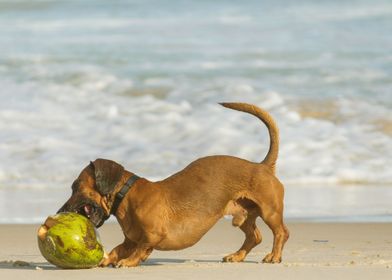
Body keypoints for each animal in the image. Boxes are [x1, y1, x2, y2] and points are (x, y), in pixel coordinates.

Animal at [56, 102, 290, 266]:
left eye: (75, 187)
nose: (59, 212)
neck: (127, 195)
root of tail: (262, 166)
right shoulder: (130, 240)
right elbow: (118, 249)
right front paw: (108, 259)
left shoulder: (152, 236)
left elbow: (141, 249)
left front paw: (129, 262)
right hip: (243, 217)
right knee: (255, 237)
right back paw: (237, 256)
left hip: (269, 212)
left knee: (281, 233)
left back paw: (274, 256)